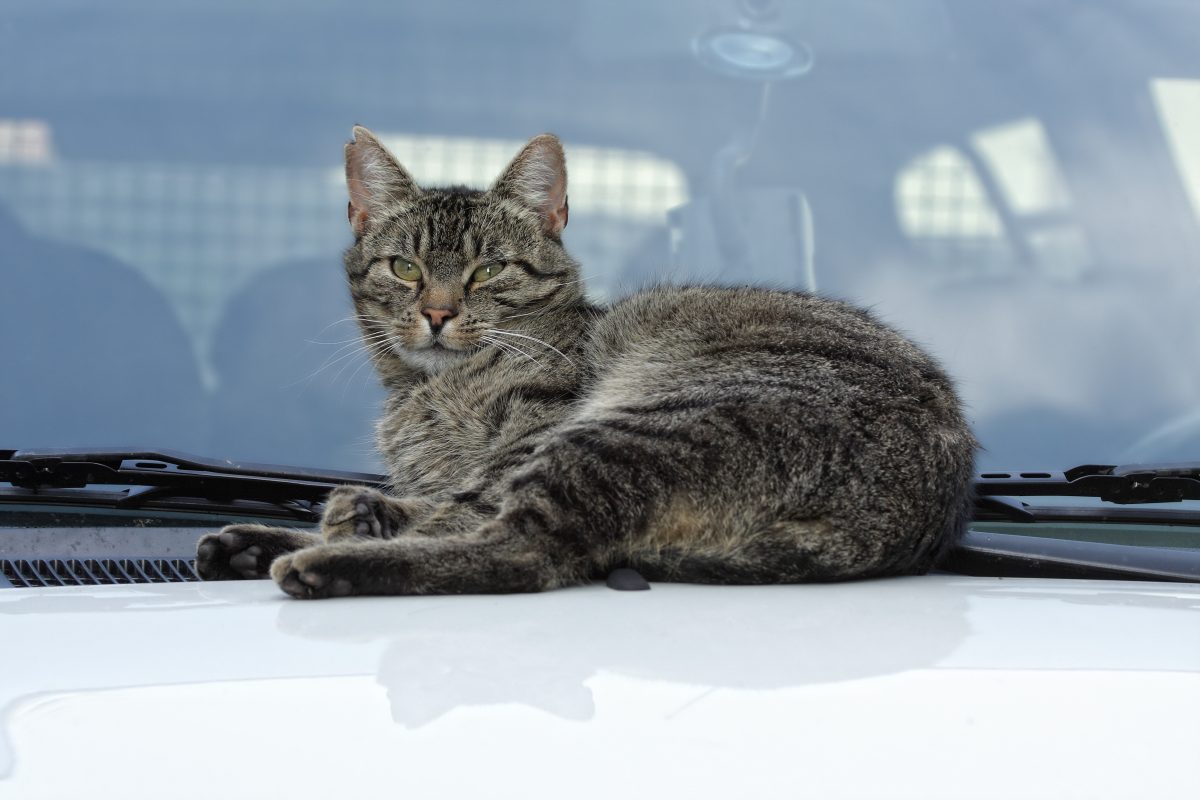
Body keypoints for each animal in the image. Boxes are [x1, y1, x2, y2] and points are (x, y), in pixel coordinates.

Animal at [196, 126, 979, 599]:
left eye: (488, 270)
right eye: (405, 267)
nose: (438, 313)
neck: (434, 392)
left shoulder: (531, 437)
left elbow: (456, 506)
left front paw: (350, 519)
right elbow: (437, 502)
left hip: (632, 426)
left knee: (523, 550)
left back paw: (321, 560)